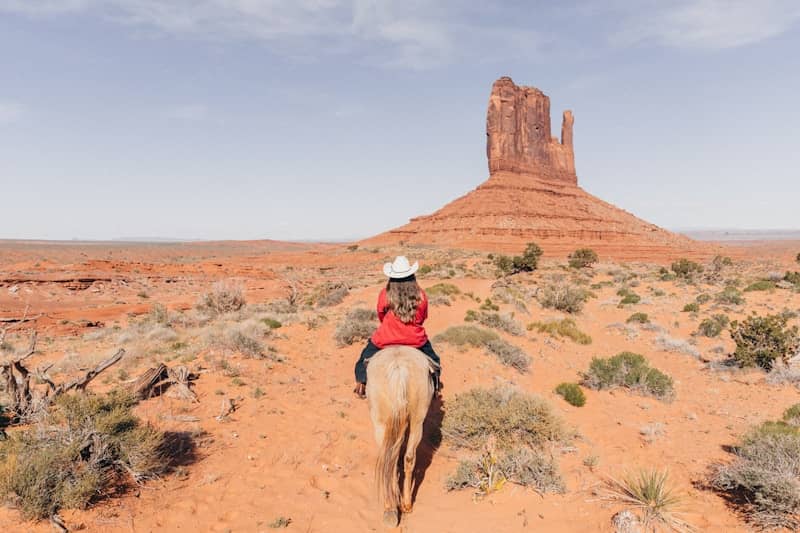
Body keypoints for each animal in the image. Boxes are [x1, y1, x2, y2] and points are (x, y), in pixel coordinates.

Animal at [366, 345, 435, 527]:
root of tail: (399, 368)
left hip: (380, 422)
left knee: (388, 459)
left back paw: (390, 507)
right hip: (417, 420)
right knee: (407, 457)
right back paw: (406, 504)